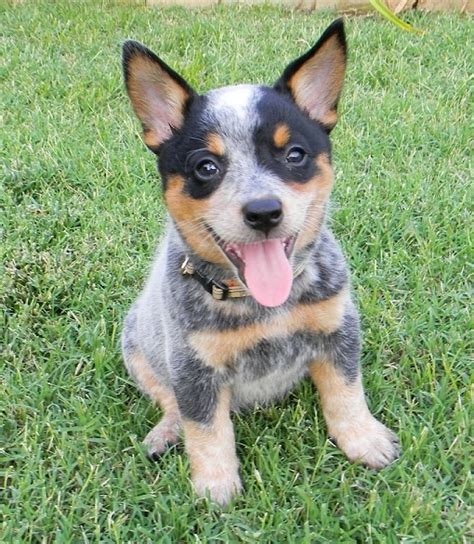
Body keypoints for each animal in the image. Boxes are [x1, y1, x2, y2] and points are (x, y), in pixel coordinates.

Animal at [120, 20, 398, 506]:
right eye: (206, 167)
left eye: (294, 155)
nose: (264, 211)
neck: (263, 306)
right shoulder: (193, 367)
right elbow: (205, 427)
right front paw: (215, 485)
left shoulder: (338, 328)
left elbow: (347, 391)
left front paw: (364, 439)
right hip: (135, 343)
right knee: (168, 400)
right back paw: (165, 432)